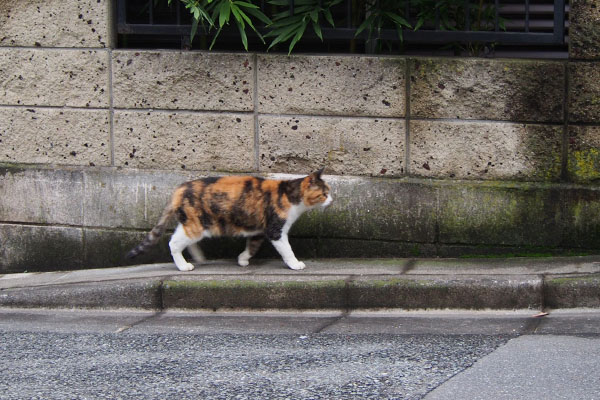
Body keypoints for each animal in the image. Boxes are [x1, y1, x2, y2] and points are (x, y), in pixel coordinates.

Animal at [127, 169, 332, 272]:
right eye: (324, 193)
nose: (331, 200)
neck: (289, 195)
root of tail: (178, 189)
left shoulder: (260, 230)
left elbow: (252, 247)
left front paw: (242, 259)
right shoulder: (276, 230)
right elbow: (287, 250)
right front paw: (295, 264)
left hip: (191, 223)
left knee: (181, 238)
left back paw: (198, 257)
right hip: (196, 225)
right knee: (173, 243)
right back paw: (184, 266)